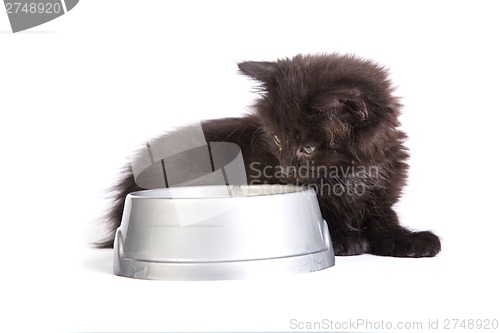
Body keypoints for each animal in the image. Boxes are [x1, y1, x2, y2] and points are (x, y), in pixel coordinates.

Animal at [98, 53, 442, 256]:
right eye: (278, 140)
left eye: (307, 147)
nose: (286, 169)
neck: (349, 175)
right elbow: (328, 215)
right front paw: (345, 240)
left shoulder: (381, 195)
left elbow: (385, 221)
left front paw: (410, 240)